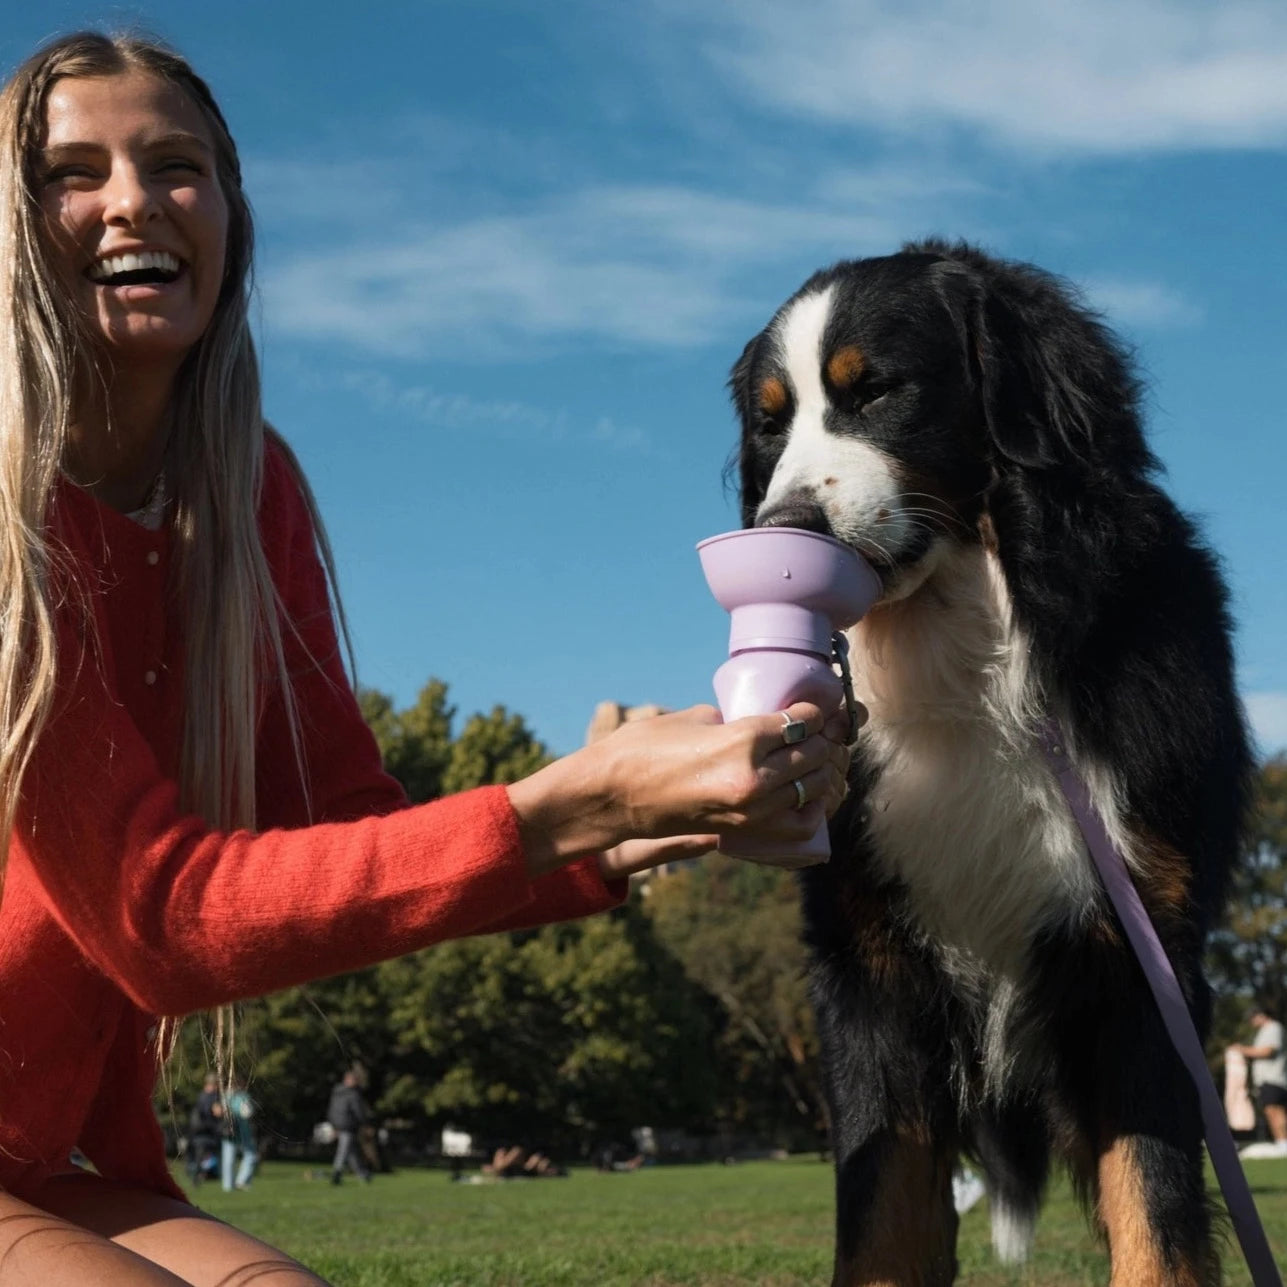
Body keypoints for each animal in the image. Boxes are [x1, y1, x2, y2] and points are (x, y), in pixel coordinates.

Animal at [731, 241, 1250, 1287]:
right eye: (769, 424)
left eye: (876, 390)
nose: (782, 527)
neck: (963, 660)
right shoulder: (868, 965)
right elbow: (881, 1221)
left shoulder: (1142, 954)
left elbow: (1155, 1207)